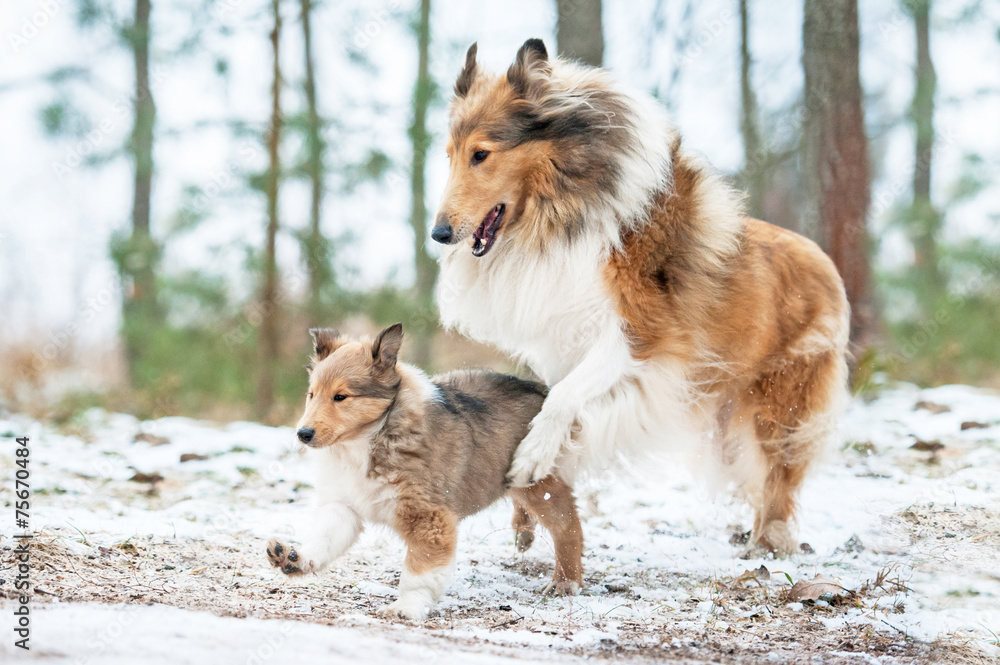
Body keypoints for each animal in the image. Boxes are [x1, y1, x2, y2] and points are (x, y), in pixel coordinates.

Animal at [266, 324, 584, 620]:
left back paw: (565, 582)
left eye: (341, 396)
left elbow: (419, 571)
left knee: (568, 527)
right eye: (311, 394)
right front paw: (294, 558)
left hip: (540, 484)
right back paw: (524, 535)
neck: (368, 440)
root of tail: (544, 391)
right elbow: (324, 538)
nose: (303, 434)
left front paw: (407, 607)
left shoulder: (429, 517)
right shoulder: (344, 505)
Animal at [434, 39, 848, 552]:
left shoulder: (641, 335)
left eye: (481, 154)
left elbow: (562, 398)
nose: (439, 234)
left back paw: (770, 542)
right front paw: (528, 505)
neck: (565, 208)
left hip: (780, 403)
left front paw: (531, 458)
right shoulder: (564, 342)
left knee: (780, 475)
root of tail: (826, 263)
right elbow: (550, 402)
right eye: (449, 154)